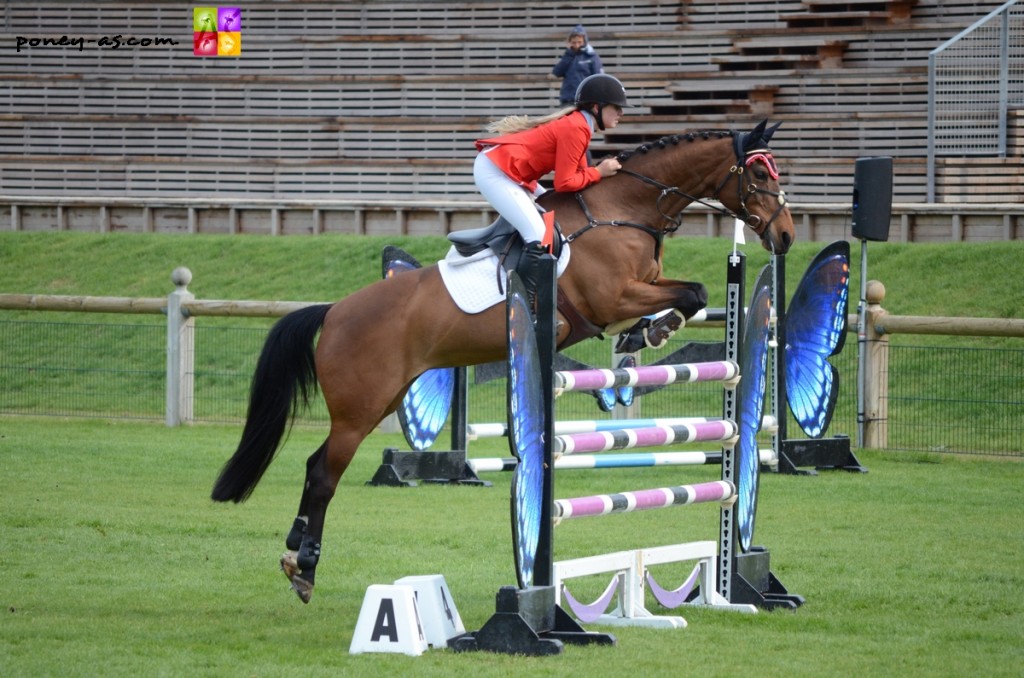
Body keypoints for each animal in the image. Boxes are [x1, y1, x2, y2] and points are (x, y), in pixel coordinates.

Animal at [211, 118, 794, 606]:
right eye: (758, 173)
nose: (786, 235)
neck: (623, 208)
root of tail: (333, 312)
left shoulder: (642, 286)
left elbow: (690, 292)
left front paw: (647, 332)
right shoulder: (612, 297)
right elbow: (691, 293)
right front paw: (651, 330)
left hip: (383, 398)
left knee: (317, 466)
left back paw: (295, 550)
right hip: (360, 408)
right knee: (322, 475)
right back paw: (304, 568)